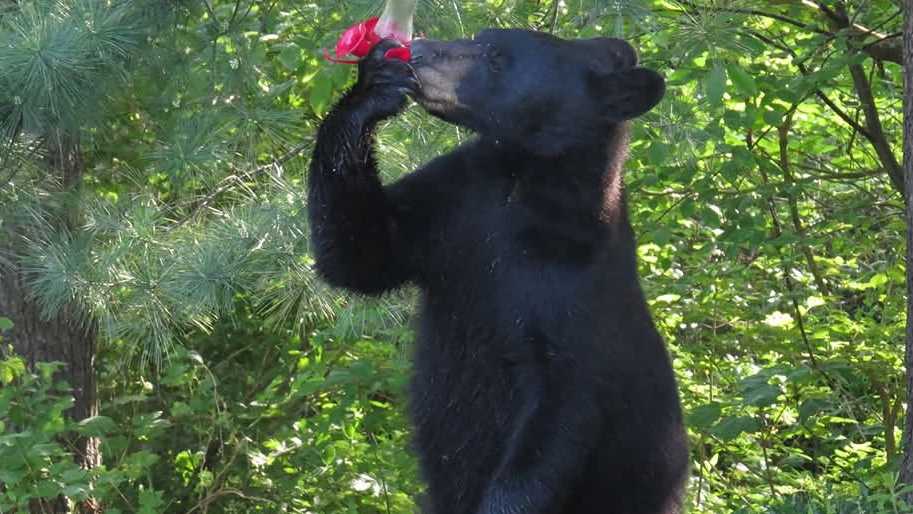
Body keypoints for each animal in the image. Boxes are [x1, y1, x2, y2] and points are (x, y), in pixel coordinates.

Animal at [307, 29, 688, 514]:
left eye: (495, 57)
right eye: (481, 36)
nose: (419, 50)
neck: (523, 186)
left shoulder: (576, 298)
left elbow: (556, 419)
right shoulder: (455, 204)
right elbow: (362, 254)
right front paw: (375, 83)